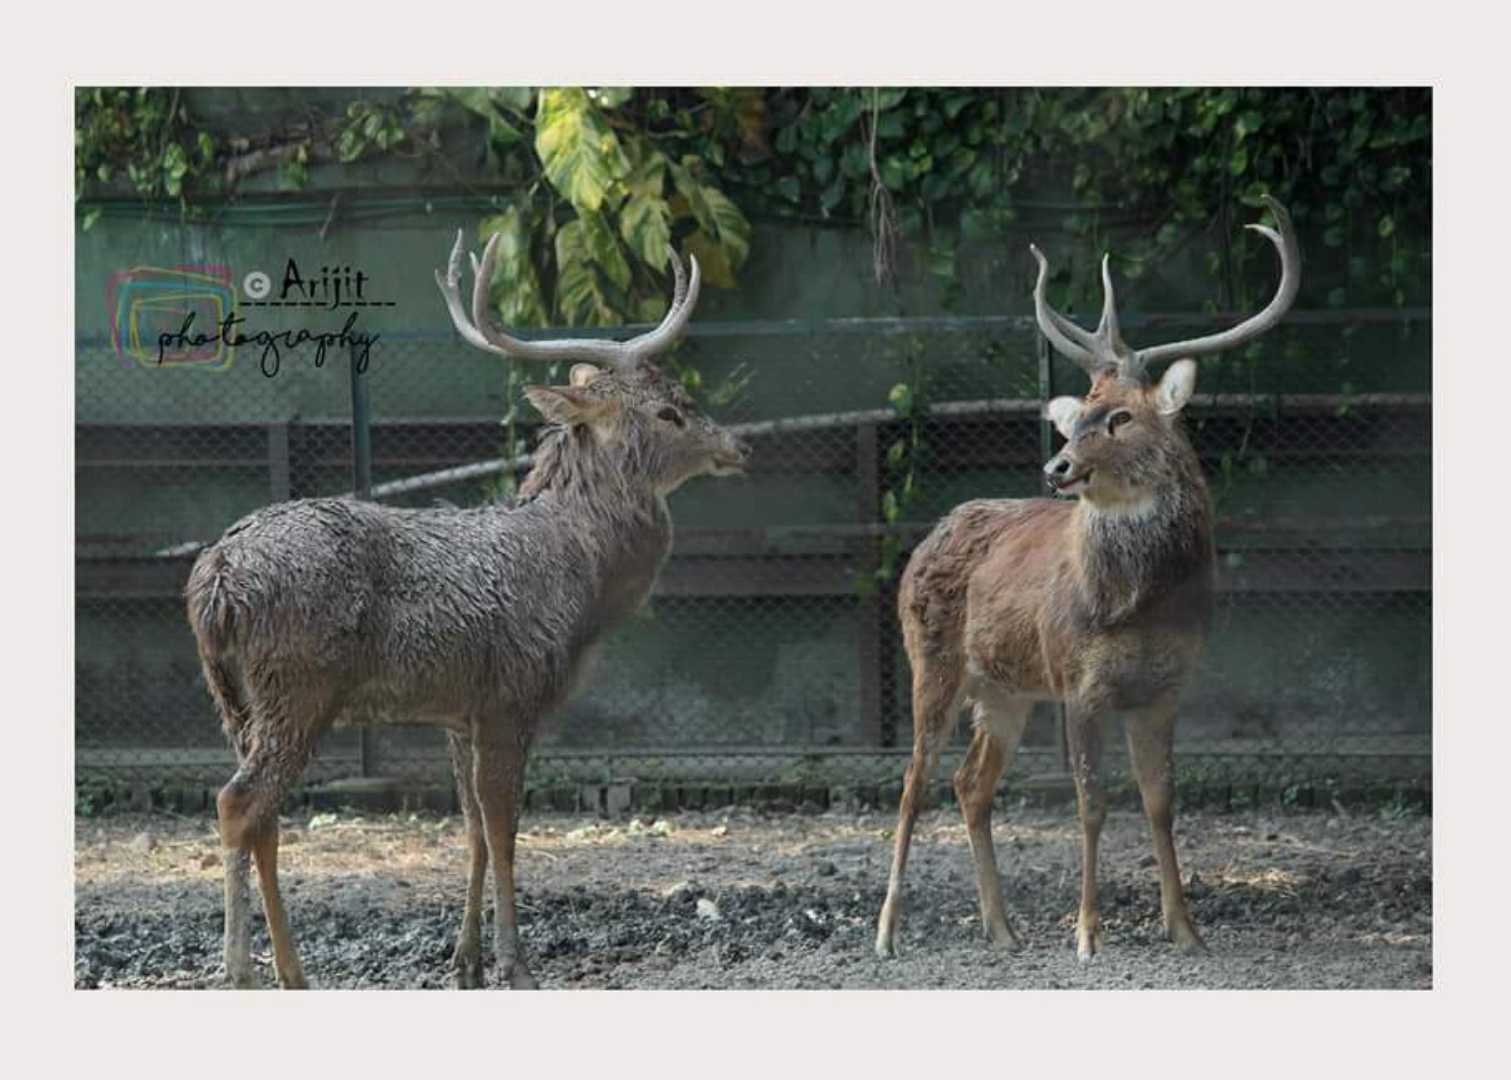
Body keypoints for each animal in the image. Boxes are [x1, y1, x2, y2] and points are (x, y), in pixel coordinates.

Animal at [185, 232, 749, 990]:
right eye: (669, 411)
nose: (738, 446)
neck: (578, 583)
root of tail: (214, 579)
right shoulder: (513, 693)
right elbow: (505, 827)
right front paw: (515, 962)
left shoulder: (460, 711)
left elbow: (474, 828)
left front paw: (466, 960)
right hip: (295, 685)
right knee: (237, 804)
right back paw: (245, 969)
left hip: (235, 701)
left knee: (262, 815)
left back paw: (288, 969)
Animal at [875, 196, 1299, 963]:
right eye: (1082, 414)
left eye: (1122, 415)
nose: (1058, 466)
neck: (1137, 609)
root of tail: (926, 539)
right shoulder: (1077, 682)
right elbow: (1092, 803)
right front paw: (1086, 933)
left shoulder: (1166, 687)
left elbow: (1160, 801)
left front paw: (1185, 929)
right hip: (933, 663)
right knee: (912, 783)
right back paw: (888, 933)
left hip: (1005, 691)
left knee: (970, 783)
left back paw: (1002, 928)